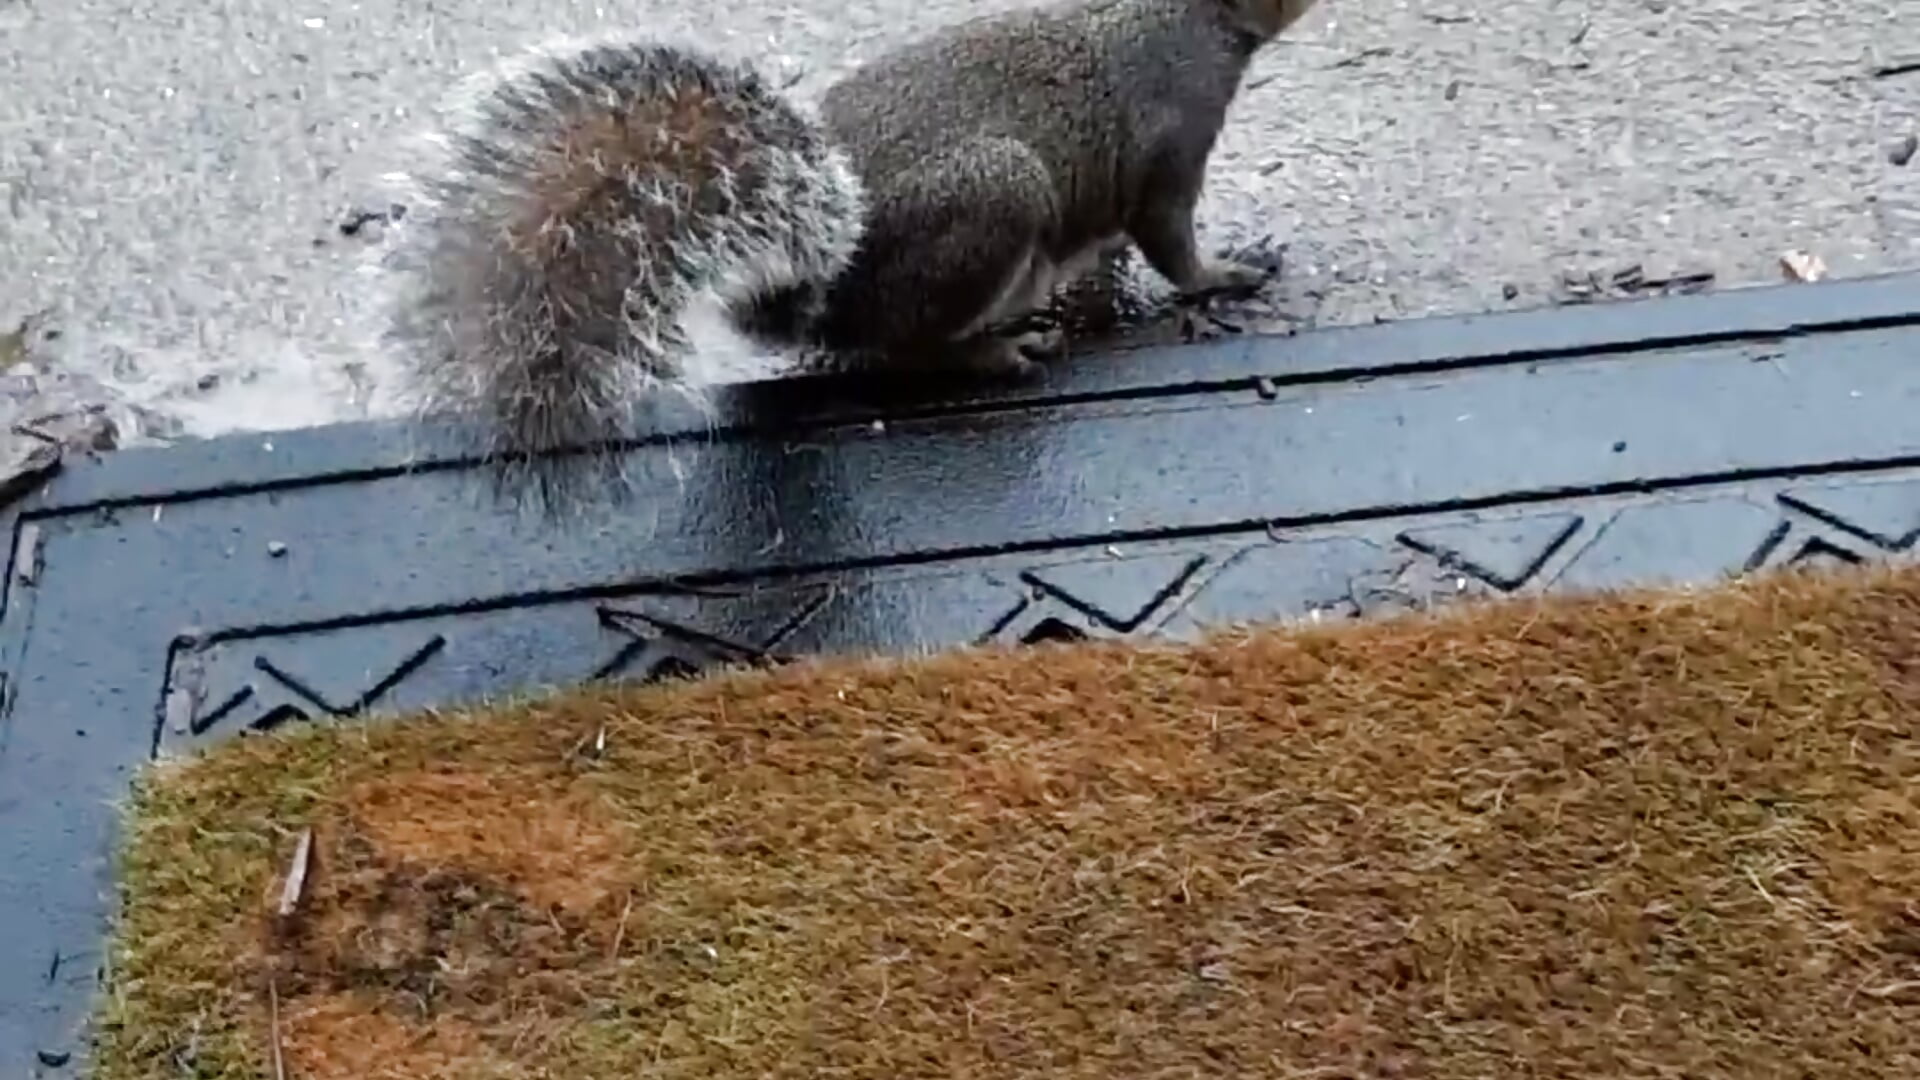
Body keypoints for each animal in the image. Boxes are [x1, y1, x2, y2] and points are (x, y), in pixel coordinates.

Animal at [383, 0, 1325, 506]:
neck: (1186, 15)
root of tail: (823, 281)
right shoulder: (1174, 136)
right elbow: (1170, 238)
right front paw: (1231, 274)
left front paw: (1109, 291)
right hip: (995, 199)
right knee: (905, 350)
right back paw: (994, 350)